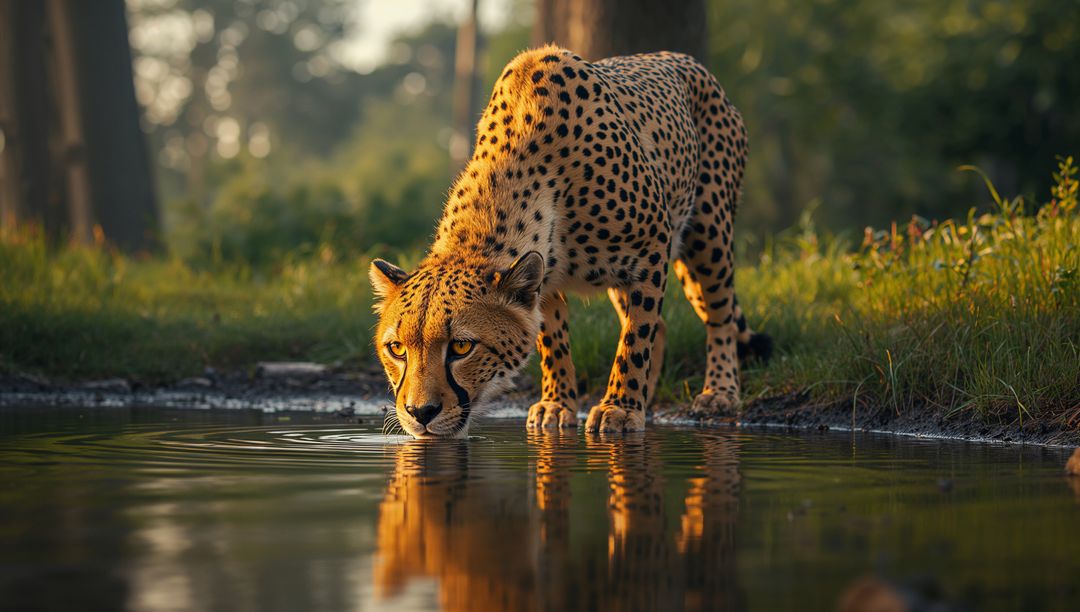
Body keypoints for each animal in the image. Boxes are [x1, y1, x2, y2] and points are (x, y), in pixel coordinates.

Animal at [370, 45, 771, 438]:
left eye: (461, 346)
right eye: (396, 348)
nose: (420, 413)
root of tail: (682, 58)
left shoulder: (651, 250)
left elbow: (635, 339)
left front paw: (620, 408)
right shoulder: (542, 279)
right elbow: (554, 340)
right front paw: (558, 404)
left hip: (708, 231)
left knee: (718, 315)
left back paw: (719, 391)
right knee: (663, 326)